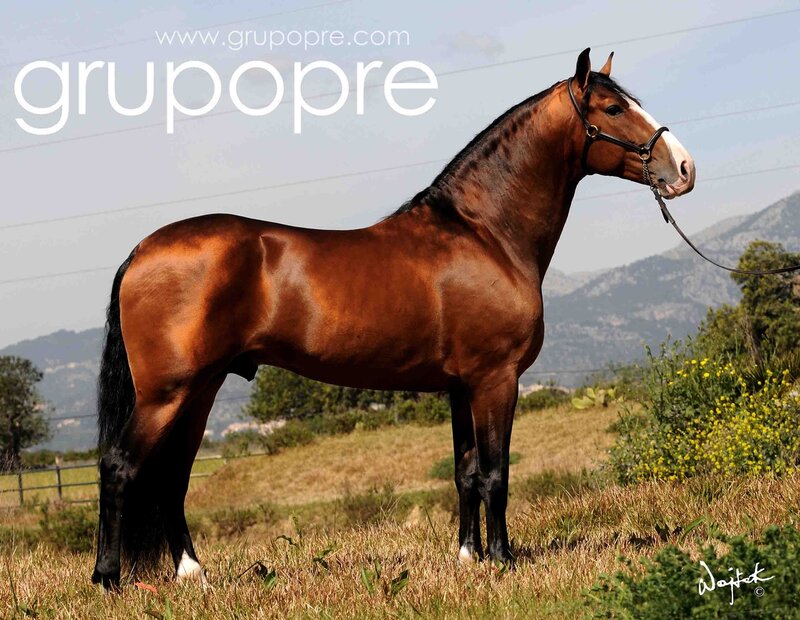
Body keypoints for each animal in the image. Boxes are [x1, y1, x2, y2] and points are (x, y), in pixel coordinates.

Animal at [91, 48, 695, 589]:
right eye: (612, 108)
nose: (685, 169)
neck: (484, 233)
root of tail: (141, 251)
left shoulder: (460, 386)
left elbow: (465, 472)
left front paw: (469, 558)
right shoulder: (495, 379)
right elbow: (496, 472)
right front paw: (504, 561)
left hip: (201, 388)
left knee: (172, 474)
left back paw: (193, 573)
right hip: (168, 392)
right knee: (120, 465)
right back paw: (108, 578)